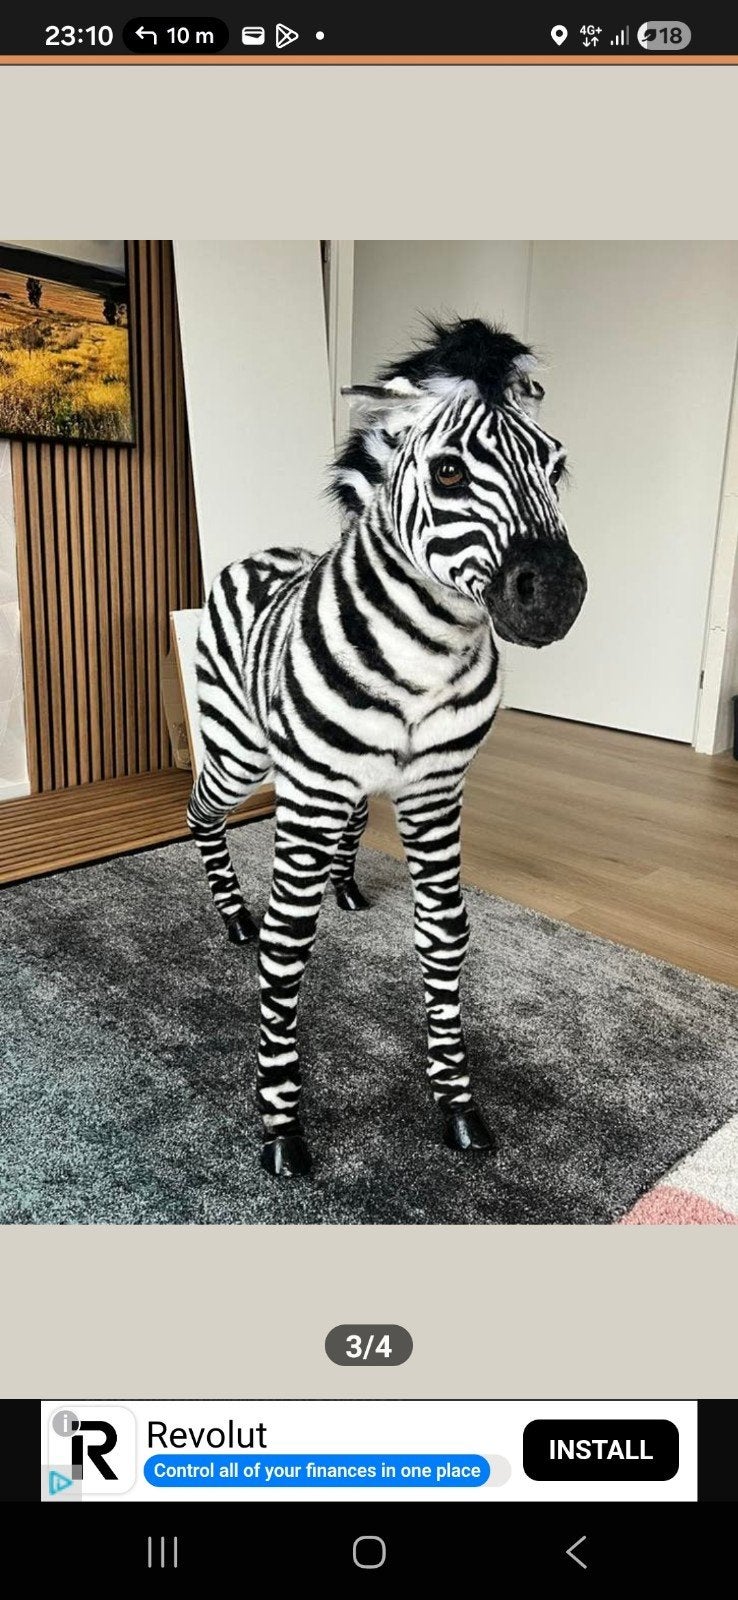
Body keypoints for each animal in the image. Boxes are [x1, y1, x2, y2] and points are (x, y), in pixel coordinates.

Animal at [187, 317, 587, 1178]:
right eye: (447, 471)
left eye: (558, 466)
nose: (556, 594)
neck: (426, 653)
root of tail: (263, 552)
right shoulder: (308, 795)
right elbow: (287, 945)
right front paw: (280, 1123)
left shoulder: (435, 791)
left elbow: (445, 932)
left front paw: (457, 1102)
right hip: (242, 749)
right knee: (199, 810)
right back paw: (232, 914)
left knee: (347, 826)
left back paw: (343, 885)